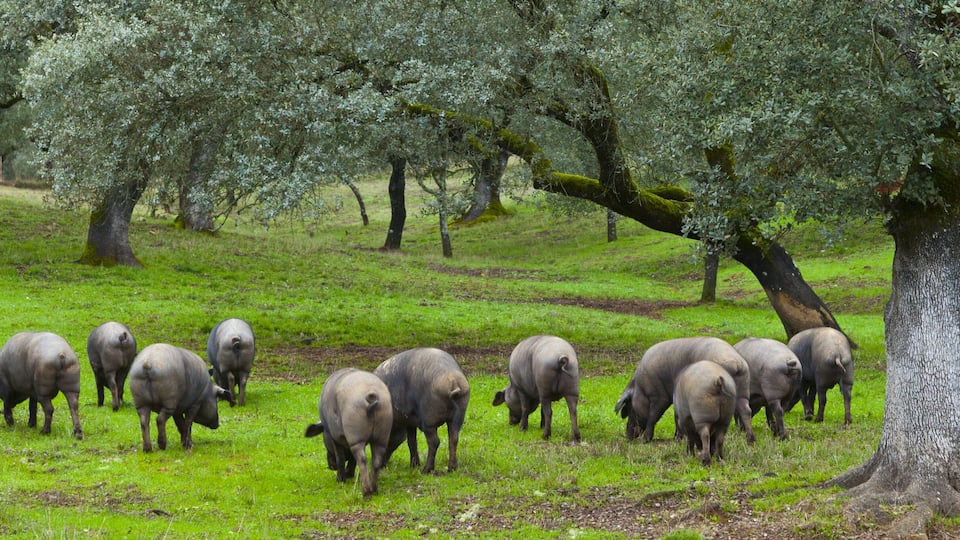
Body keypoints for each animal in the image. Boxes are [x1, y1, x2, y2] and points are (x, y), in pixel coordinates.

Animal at [304, 368, 393, 499]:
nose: (330, 466)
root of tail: (371, 395)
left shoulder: (334, 436)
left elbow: (341, 458)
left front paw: (341, 479)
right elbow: (351, 459)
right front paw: (349, 474)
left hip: (356, 436)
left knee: (362, 459)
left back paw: (366, 492)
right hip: (382, 435)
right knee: (376, 461)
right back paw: (375, 490)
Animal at [614, 336, 754, 444]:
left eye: (630, 408)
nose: (627, 435)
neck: (640, 387)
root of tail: (737, 363)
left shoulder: (659, 396)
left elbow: (653, 416)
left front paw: (646, 440)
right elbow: (677, 416)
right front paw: (677, 439)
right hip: (742, 393)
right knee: (746, 411)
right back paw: (750, 439)